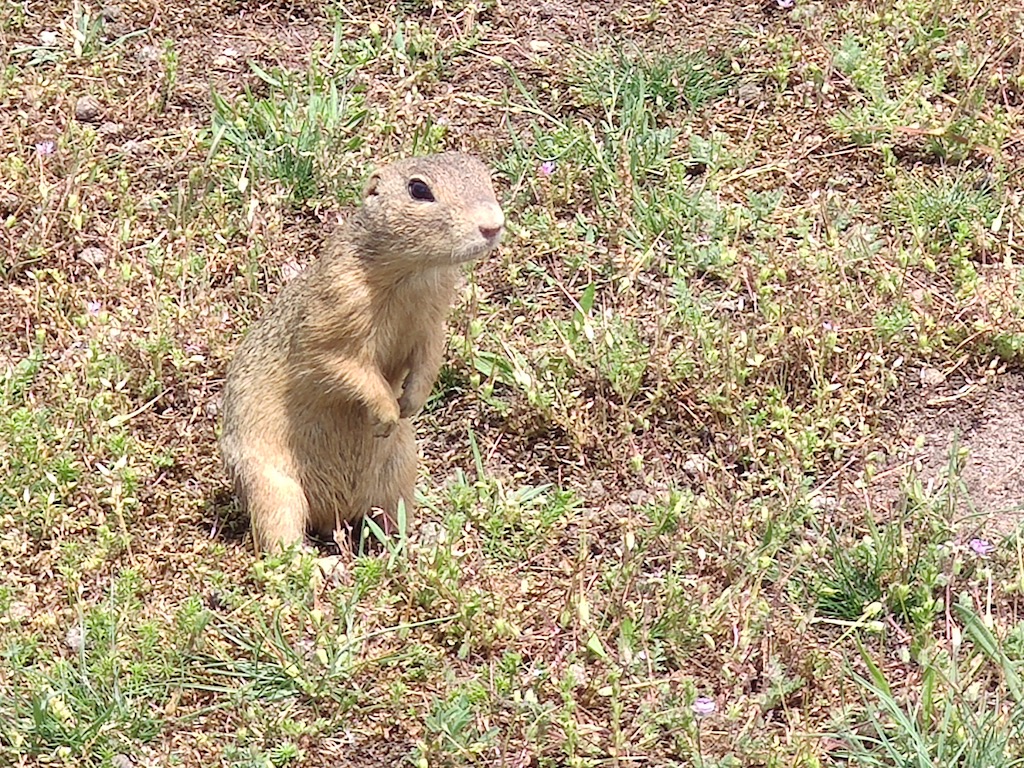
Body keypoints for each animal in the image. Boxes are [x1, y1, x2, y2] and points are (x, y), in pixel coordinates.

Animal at [220, 153, 503, 552]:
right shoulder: (335, 307)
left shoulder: (433, 320)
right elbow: (340, 363)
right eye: (419, 189)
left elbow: (430, 355)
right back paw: (316, 561)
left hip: (401, 471)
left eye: (483, 174)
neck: (413, 274)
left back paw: (414, 542)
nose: (493, 226)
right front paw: (387, 412)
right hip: (271, 486)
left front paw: (411, 402)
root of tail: (334, 513)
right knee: (279, 542)